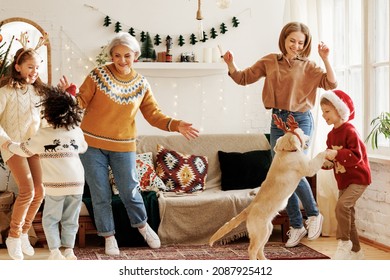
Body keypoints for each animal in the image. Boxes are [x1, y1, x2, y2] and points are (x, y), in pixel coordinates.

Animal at [209, 114, 328, 260]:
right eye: (301, 132)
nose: (309, 138)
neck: (286, 151)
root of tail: (248, 210)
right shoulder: (308, 168)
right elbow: (319, 156)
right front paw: (329, 152)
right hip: (261, 232)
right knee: (252, 249)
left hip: (267, 230)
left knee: (260, 250)